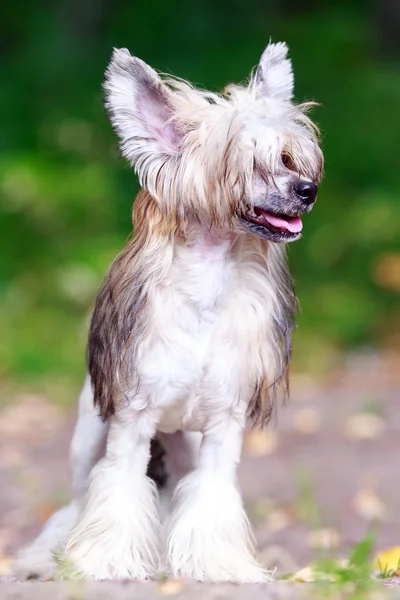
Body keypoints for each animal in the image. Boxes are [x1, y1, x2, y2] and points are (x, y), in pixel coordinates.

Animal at [14, 41, 324, 580]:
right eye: (249, 163)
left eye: (288, 157)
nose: (307, 189)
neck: (207, 292)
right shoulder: (131, 424)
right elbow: (117, 490)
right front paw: (105, 562)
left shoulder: (222, 431)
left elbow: (212, 497)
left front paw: (219, 565)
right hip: (88, 439)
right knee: (74, 505)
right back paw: (45, 559)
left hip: (185, 446)